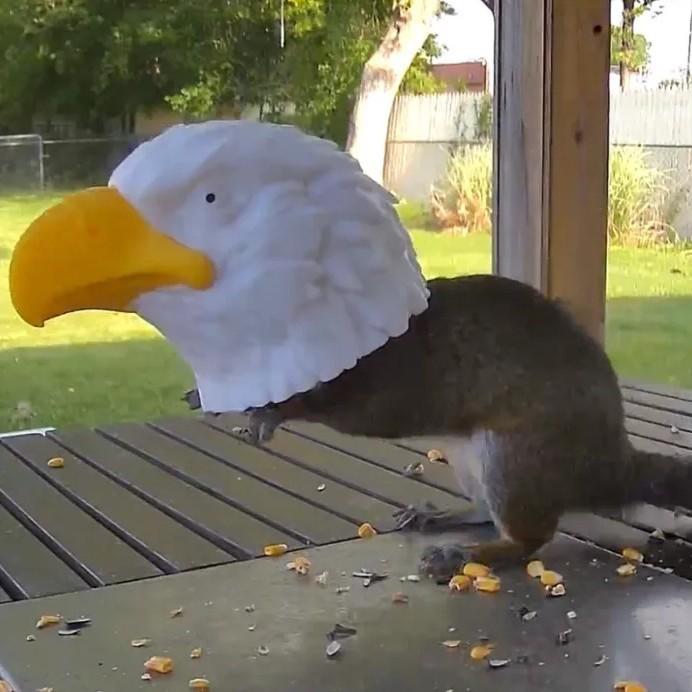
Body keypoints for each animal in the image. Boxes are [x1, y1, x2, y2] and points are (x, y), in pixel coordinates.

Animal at [185, 274, 692, 580]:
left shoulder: (389, 383)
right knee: (486, 511)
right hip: (471, 463)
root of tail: (607, 466)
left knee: (529, 539)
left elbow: (345, 407)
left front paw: (272, 409)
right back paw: (443, 517)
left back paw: (469, 555)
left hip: (515, 457)